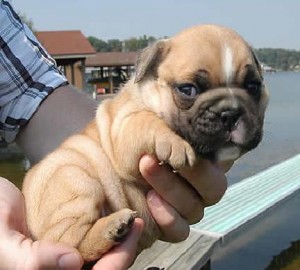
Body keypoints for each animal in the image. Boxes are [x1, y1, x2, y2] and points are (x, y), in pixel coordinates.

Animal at [22, 24, 268, 260]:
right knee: (70, 244)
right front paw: (175, 143)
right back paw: (112, 227)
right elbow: (147, 121)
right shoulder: (123, 129)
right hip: (75, 178)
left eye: (253, 87)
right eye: (188, 89)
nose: (230, 113)